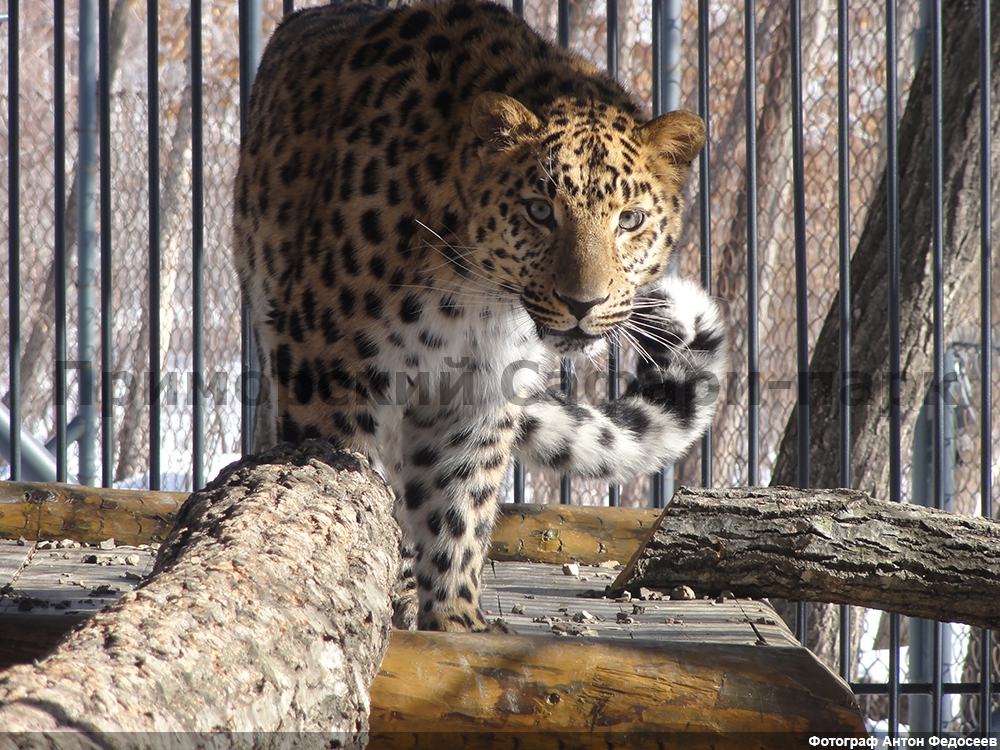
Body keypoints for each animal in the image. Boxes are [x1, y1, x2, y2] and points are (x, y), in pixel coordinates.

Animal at [238, 0, 732, 636]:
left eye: (630, 219)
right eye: (540, 211)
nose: (583, 303)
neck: (475, 293)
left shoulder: (479, 390)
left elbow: (458, 499)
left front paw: (456, 619)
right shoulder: (329, 368)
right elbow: (349, 491)